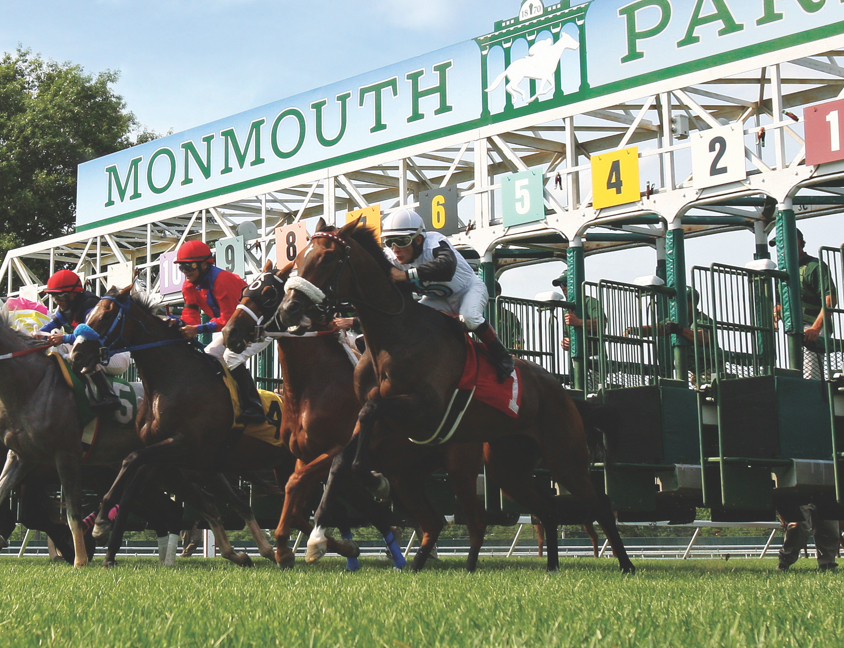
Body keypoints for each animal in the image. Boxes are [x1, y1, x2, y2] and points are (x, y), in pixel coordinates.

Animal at [66, 288, 356, 568]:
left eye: (105, 316)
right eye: (88, 316)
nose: (76, 355)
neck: (173, 377)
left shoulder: (184, 445)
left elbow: (130, 461)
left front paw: (101, 525)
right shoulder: (164, 455)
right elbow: (132, 481)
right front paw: (105, 539)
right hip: (285, 466)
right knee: (302, 509)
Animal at [223, 260, 488, 568]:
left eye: (268, 293)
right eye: (245, 290)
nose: (230, 333)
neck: (313, 385)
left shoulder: (335, 451)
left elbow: (298, 485)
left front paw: (294, 547)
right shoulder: (305, 456)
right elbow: (299, 500)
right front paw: (306, 547)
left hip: (459, 466)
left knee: (471, 520)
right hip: (407, 473)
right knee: (431, 521)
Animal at [280, 220, 636, 576]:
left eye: (327, 258)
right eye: (300, 257)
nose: (288, 309)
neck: (393, 334)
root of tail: (562, 392)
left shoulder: (425, 409)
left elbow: (369, 414)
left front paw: (372, 483)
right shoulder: (385, 424)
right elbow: (342, 458)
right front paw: (318, 537)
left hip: (563, 456)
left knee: (599, 505)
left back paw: (626, 565)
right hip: (508, 466)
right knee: (545, 508)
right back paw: (550, 567)